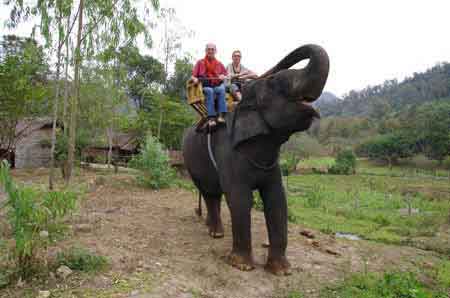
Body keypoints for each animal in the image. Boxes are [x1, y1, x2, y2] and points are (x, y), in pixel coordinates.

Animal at [181, 43, 328, 274]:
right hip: (191, 161)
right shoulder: (228, 151)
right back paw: (216, 233)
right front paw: (241, 266)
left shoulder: (272, 162)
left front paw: (282, 271)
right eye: (276, 83)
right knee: (208, 192)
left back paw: (212, 229)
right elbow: (240, 198)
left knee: (214, 193)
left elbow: (277, 199)